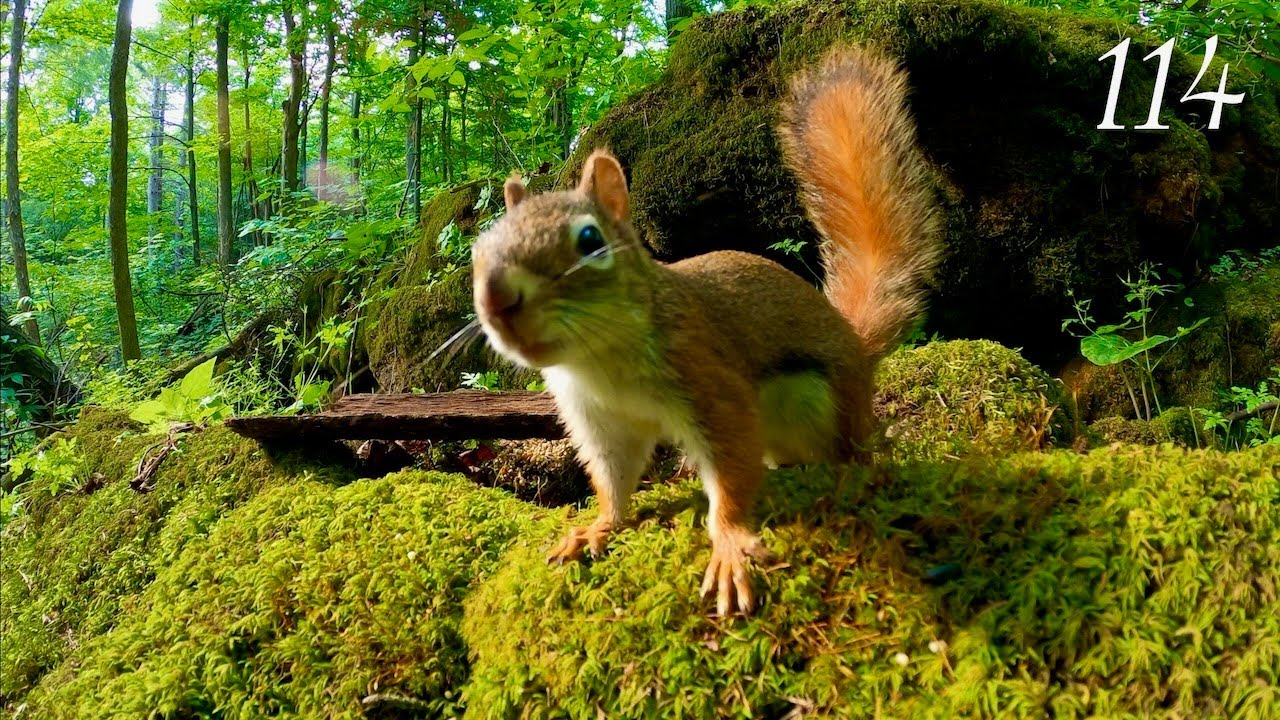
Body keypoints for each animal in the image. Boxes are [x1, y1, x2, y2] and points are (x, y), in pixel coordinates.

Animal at [470, 46, 940, 616]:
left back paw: (852, 472)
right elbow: (613, 479)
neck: (599, 359)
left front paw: (730, 546)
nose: (496, 299)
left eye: (590, 240)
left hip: (821, 400)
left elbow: (731, 472)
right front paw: (596, 529)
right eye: (481, 243)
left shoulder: (710, 381)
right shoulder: (599, 419)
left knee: (851, 449)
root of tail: (855, 344)